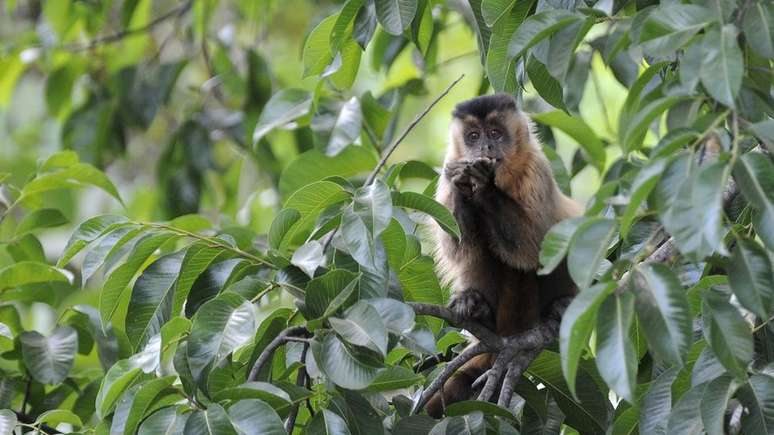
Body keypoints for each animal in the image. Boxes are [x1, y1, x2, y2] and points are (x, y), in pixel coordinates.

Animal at [428, 93, 584, 418]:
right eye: (474, 137)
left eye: (495, 134)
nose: (486, 148)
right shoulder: (446, 170)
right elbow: (457, 247)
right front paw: (464, 183)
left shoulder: (537, 168)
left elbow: (535, 248)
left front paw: (484, 185)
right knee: (480, 250)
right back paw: (479, 311)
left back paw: (557, 307)